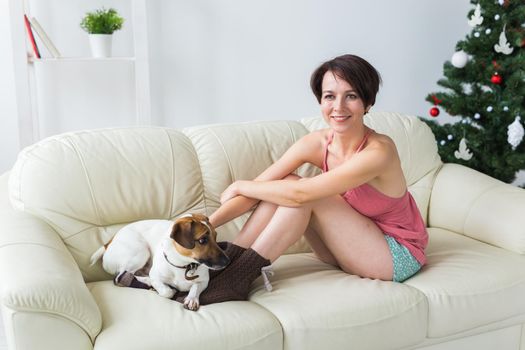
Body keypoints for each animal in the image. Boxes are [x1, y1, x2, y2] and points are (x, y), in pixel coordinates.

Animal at [90, 215, 229, 310]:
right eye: (202, 240)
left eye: (215, 236)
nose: (227, 261)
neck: (183, 265)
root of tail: (108, 243)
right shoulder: (157, 276)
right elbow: (167, 292)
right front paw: (165, 288)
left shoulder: (204, 281)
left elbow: (195, 287)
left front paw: (191, 299)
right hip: (141, 251)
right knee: (121, 276)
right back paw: (147, 282)